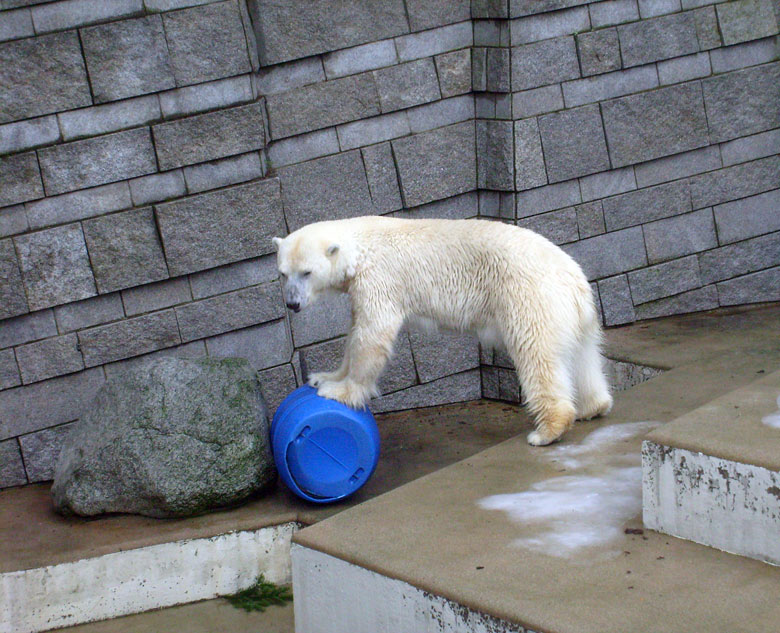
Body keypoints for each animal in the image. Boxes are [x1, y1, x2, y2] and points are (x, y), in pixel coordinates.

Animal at [272, 217, 612, 444]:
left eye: (307, 272)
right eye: (283, 273)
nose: (292, 303)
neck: (360, 247)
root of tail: (574, 280)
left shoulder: (380, 278)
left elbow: (372, 334)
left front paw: (341, 391)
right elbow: (355, 331)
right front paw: (324, 376)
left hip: (529, 298)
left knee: (536, 354)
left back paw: (546, 431)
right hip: (577, 317)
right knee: (583, 358)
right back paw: (592, 407)